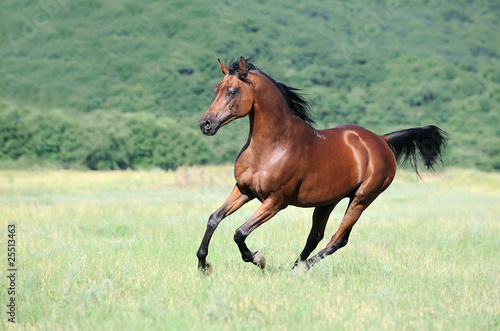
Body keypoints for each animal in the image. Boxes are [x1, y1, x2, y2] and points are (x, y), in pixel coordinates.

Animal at [194, 57, 446, 274]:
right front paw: (203, 265)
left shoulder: (276, 202)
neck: (272, 146)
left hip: (362, 198)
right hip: (328, 200)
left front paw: (258, 258)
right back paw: (294, 267)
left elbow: (240, 232)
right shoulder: (243, 190)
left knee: (338, 239)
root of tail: (381, 139)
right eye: (216, 89)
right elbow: (213, 219)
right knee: (315, 237)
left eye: (232, 91)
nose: (205, 124)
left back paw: (301, 268)